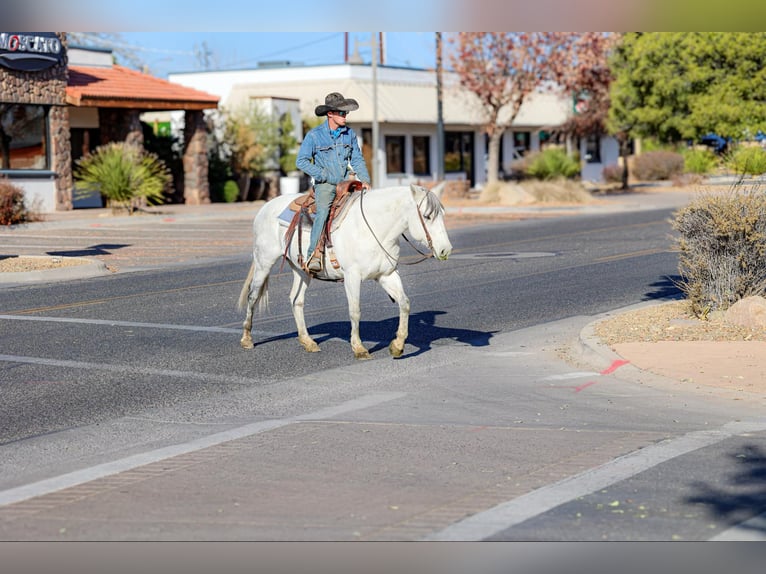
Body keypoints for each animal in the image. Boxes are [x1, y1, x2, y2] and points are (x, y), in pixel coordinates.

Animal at [240, 183, 452, 360]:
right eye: (427, 216)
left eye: (442, 214)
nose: (445, 250)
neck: (373, 228)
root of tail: (265, 208)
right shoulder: (352, 276)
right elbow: (355, 310)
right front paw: (359, 348)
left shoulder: (386, 275)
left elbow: (404, 303)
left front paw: (397, 346)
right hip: (264, 262)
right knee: (253, 296)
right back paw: (247, 339)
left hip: (301, 270)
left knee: (296, 299)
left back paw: (308, 341)